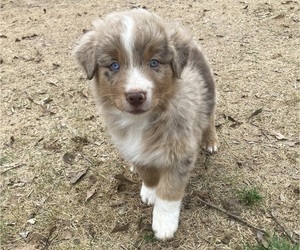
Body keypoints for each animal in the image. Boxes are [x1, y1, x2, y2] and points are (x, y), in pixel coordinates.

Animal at [74, 9, 219, 240]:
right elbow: (147, 172)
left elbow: (169, 191)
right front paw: (150, 190)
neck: (141, 122)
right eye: (114, 65)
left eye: (154, 63)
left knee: (210, 115)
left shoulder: (181, 152)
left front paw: (164, 224)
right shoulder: (134, 147)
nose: (135, 96)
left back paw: (210, 140)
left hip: (209, 91)